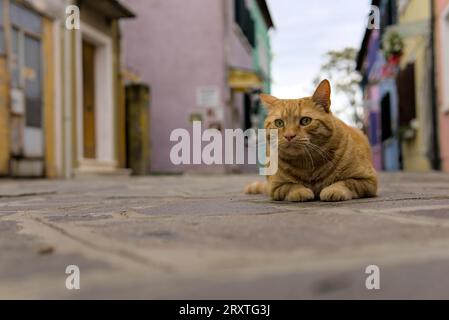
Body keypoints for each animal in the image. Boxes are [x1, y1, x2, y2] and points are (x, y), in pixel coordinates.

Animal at [247, 79, 376, 201]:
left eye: (305, 121)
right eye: (279, 123)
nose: (289, 136)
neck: (308, 164)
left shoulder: (368, 180)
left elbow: (346, 182)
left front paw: (333, 190)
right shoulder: (275, 187)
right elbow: (290, 186)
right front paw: (300, 191)